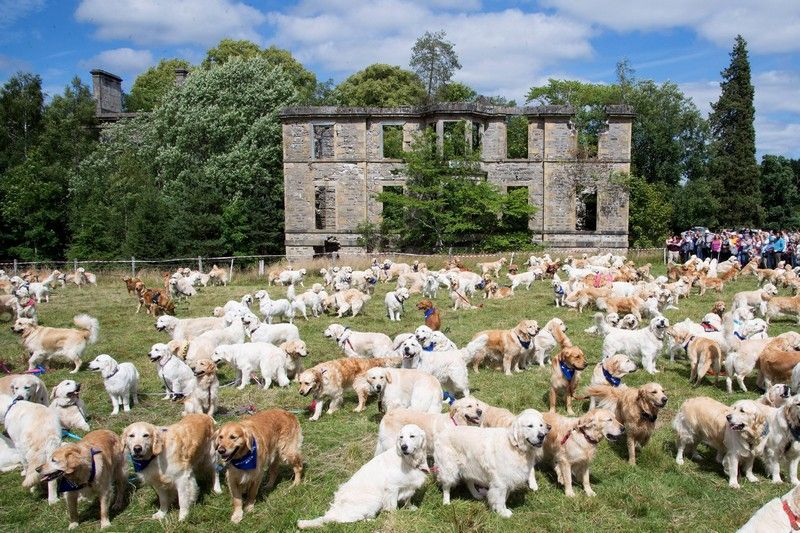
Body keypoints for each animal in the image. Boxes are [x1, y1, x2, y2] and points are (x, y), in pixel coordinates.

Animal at [296, 422, 428, 524]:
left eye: (412, 436)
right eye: (401, 437)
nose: (403, 447)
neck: (409, 461)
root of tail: (331, 514)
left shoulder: (409, 486)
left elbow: (408, 499)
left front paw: (410, 507)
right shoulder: (392, 488)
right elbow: (392, 507)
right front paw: (394, 517)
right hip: (374, 500)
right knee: (353, 519)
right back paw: (370, 521)